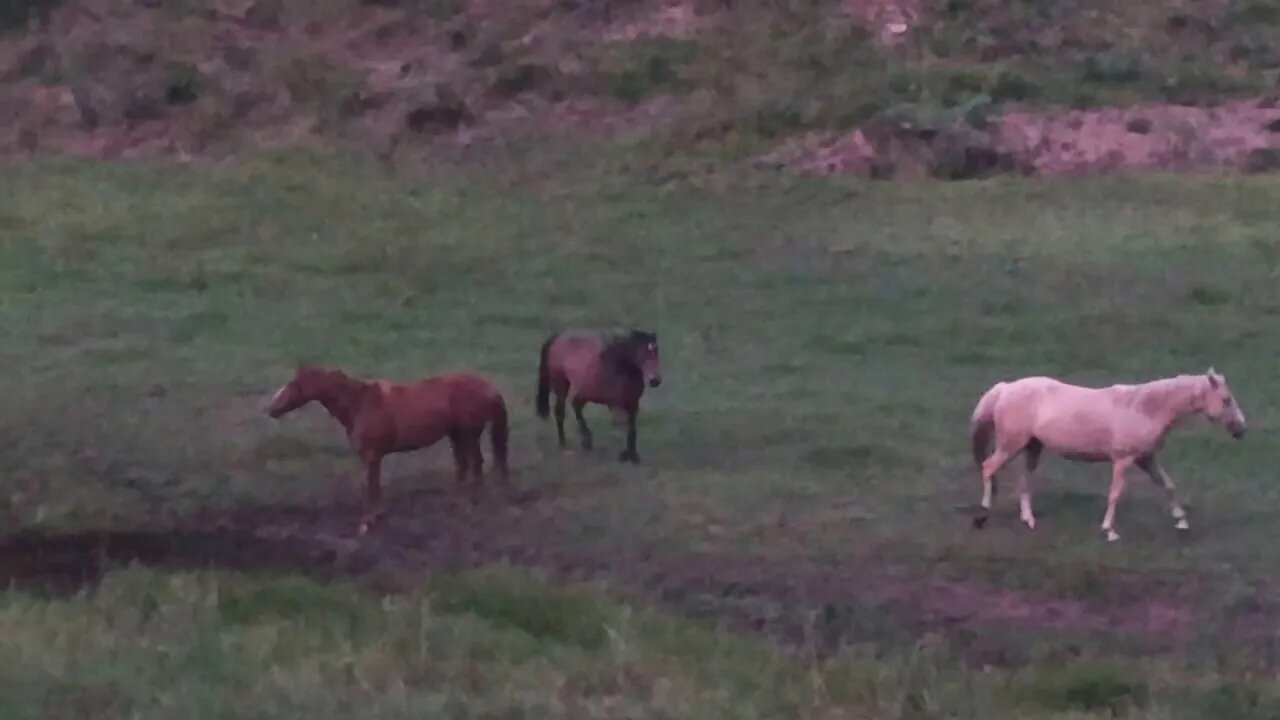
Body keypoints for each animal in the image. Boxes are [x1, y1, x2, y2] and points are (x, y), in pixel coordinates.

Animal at [264, 363, 509, 532]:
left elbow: (372, 484)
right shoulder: (371, 456)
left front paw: (369, 520)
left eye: (294, 384)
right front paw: (376, 516)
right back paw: (458, 500)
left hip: (468, 434)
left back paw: (473, 500)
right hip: (457, 435)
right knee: (464, 464)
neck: (360, 403)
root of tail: (489, 386)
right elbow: (373, 484)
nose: (271, 409)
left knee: (474, 463)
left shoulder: (372, 455)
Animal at [535, 327, 665, 461]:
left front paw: (633, 456)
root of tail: (558, 337)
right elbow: (622, 425)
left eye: (656, 351)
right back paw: (564, 445)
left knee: (576, 407)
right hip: (562, 386)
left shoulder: (633, 403)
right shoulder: (614, 404)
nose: (655, 380)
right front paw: (625, 454)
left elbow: (632, 427)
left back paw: (586, 442)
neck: (618, 368)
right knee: (561, 412)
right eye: (642, 352)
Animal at [962, 366, 1244, 540]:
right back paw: (982, 516)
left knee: (1024, 480)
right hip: (1011, 445)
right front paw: (1109, 531)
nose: (1241, 429)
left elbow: (1168, 485)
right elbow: (1115, 494)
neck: (1145, 408)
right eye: (1227, 399)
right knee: (988, 467)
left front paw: (1182, 522)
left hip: (1032, 447)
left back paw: (1028, 520)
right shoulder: (1123, 460)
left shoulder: (1146, 459)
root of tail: (1005, 388)